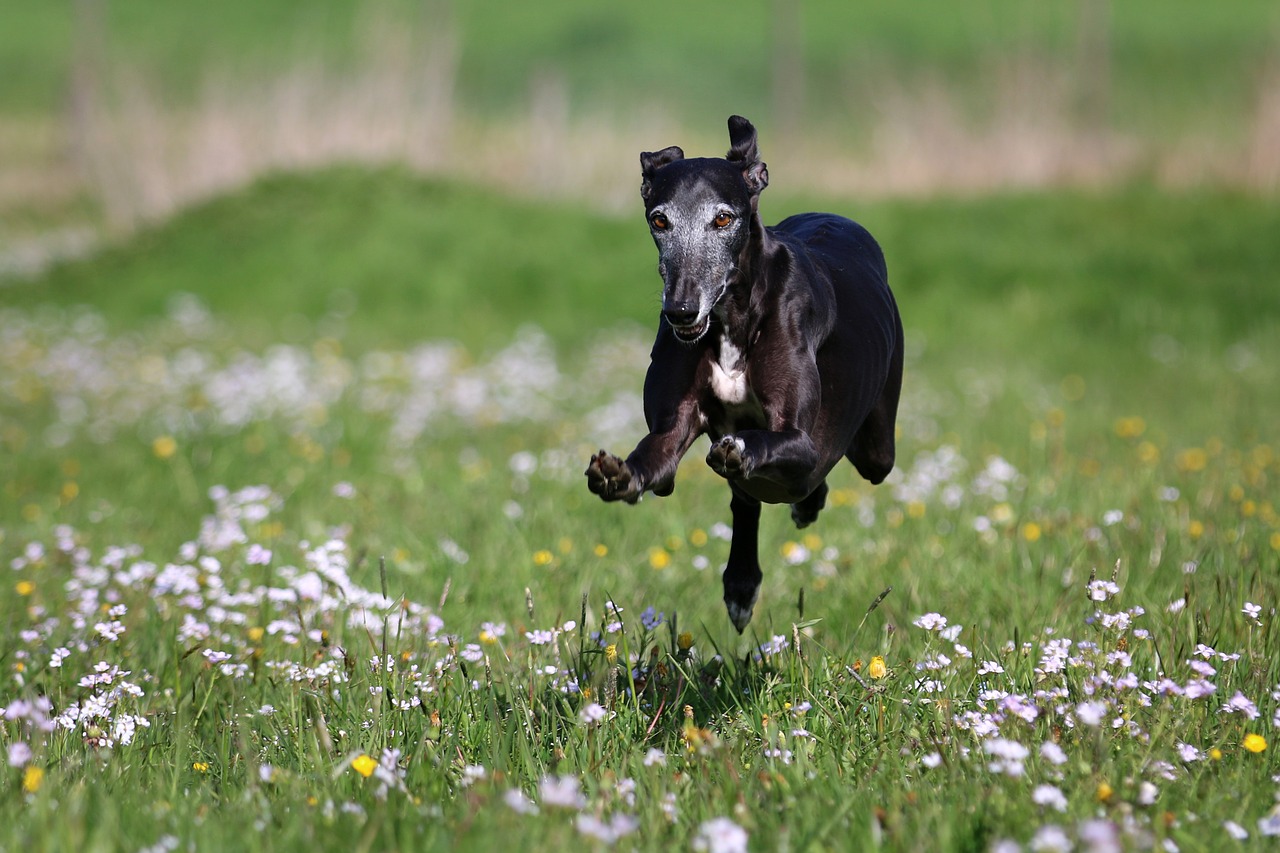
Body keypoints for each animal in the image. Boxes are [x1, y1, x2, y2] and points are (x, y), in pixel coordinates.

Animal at [586, 116, 906, 627]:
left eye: (722, 218)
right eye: (659, 219)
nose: (680, 310)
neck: (731, 319)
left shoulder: (799, 438)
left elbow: (776, 442)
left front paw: (744, 449)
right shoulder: (672, 427)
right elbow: (657, 460)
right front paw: (618, 475)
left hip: (876, 447)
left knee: (829, 469)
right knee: (747, 499)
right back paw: (741, 581)